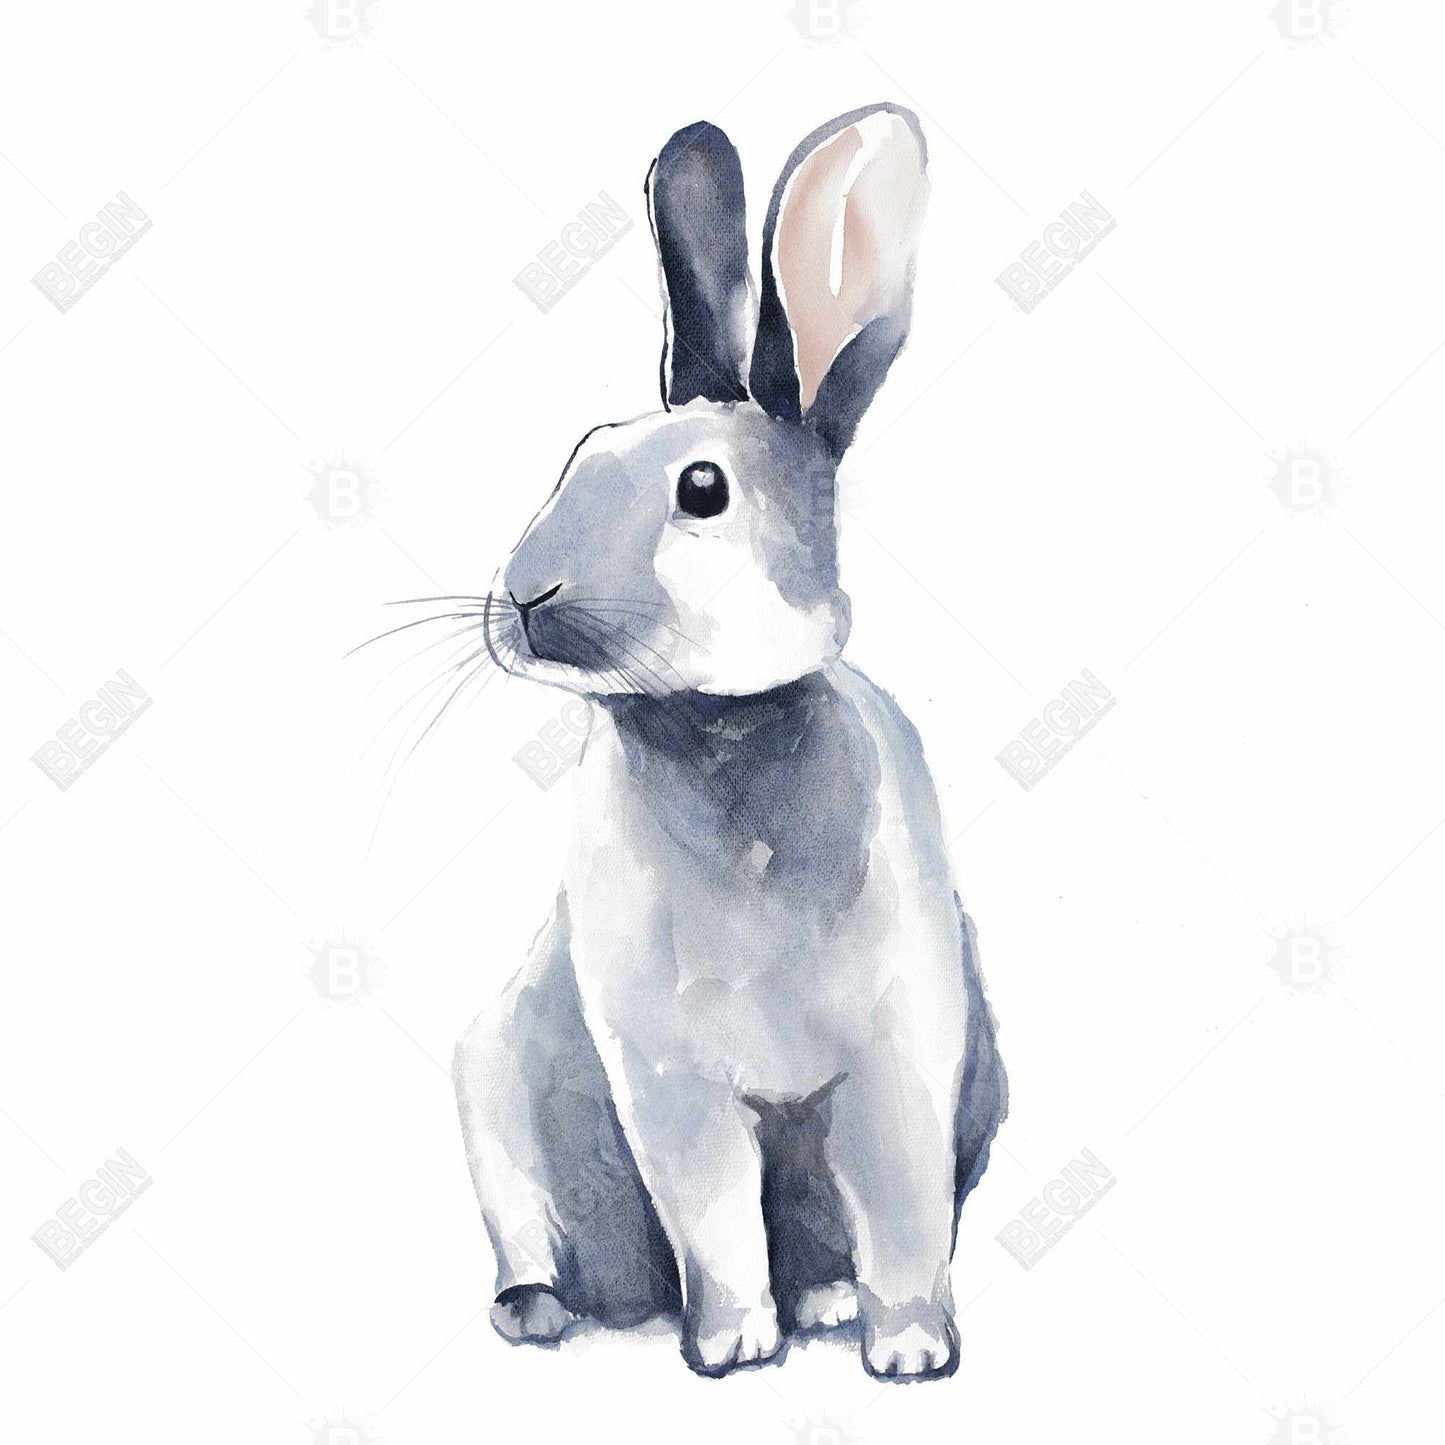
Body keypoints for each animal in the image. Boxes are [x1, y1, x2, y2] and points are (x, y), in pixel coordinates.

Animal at [452, 102, 1006, 1381]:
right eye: (576, 456)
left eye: (701, 490)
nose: (526, 596)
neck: (717, 733)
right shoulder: (669, 1079)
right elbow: (708, 1213)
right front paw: (732, 1347)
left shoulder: (898, 1063)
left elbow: (899, 1209)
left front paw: (910, 1351)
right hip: (495, 1100)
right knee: (536, 1241)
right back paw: (539, 1311)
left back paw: (829, 1305)